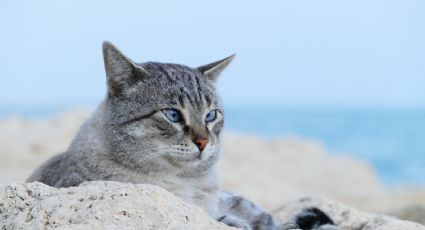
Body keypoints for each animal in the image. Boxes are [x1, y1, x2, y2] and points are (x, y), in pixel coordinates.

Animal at [27, 41, 338, 230]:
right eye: (173, 115)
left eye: (211, 115)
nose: (203, 142)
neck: (187, 184)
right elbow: (229, 221)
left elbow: (260, 217)